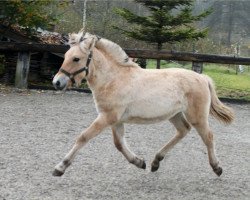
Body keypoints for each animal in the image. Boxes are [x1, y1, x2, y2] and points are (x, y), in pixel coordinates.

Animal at [51, 30, 233, 177]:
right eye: (65, 57)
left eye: (76, 59)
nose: (57, 82)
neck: (113, 79)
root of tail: (202, 78)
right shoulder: (116, 120)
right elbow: (119, 144)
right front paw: (139, 162)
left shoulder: (107, 117)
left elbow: (83, 137)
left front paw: (60, 167)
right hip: (174, 114)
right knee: (183, 130)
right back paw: (155, 162)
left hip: (197, 117)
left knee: (208, 137)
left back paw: (217, 168)